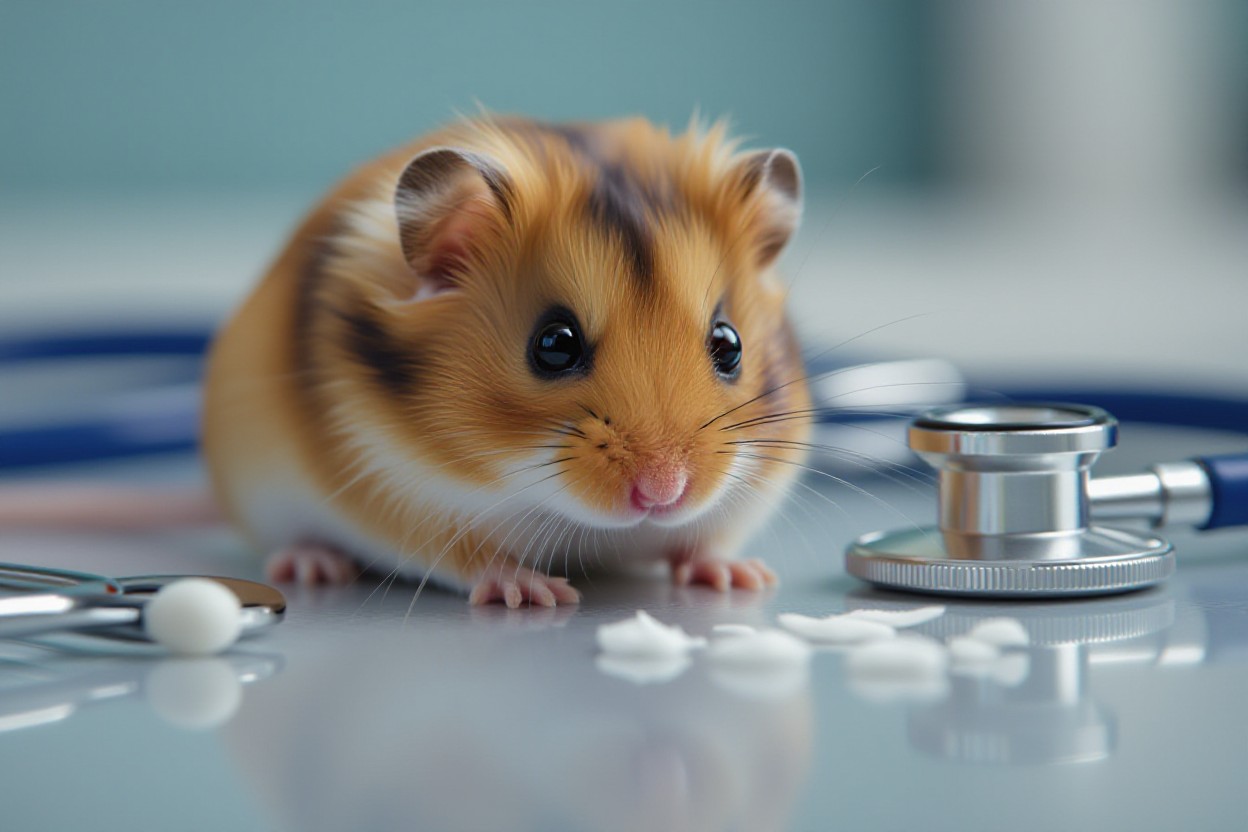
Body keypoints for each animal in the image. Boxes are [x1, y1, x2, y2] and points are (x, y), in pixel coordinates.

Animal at [201, 115, 812, 607]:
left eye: (729, 344)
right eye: (554, 344)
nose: (663, 493)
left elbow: (706, 541)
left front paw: (744, 577)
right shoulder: (400, 497)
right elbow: (473, 558)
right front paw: (541, 593)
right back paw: (314, 564)